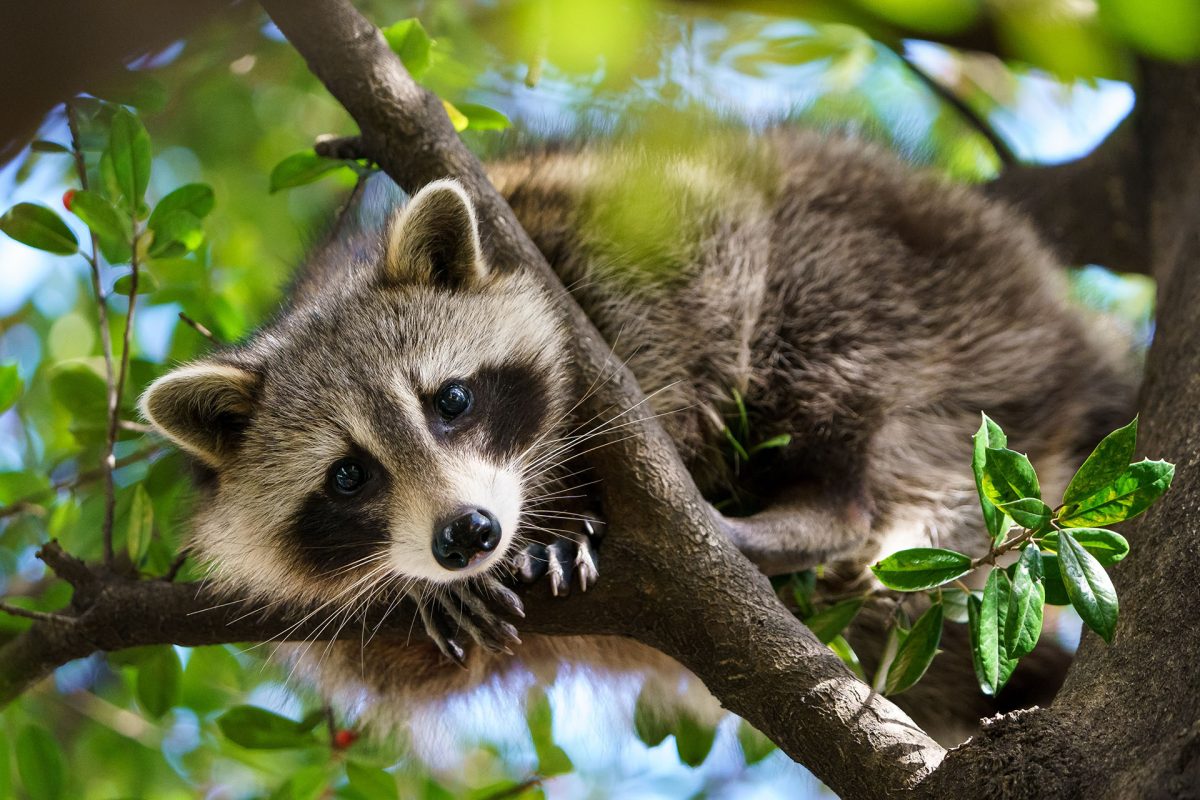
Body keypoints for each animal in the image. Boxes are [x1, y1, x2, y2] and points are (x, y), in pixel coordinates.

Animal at [140, 126, 1132, 743]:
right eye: (349, 476)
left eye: (452, 400)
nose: (467, 536)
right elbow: (387, 662)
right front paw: (429, 593)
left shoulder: (587, 227)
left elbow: (682, 318)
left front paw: (571, 509)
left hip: (918, 278)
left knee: (828, 334)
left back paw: (820, 505)